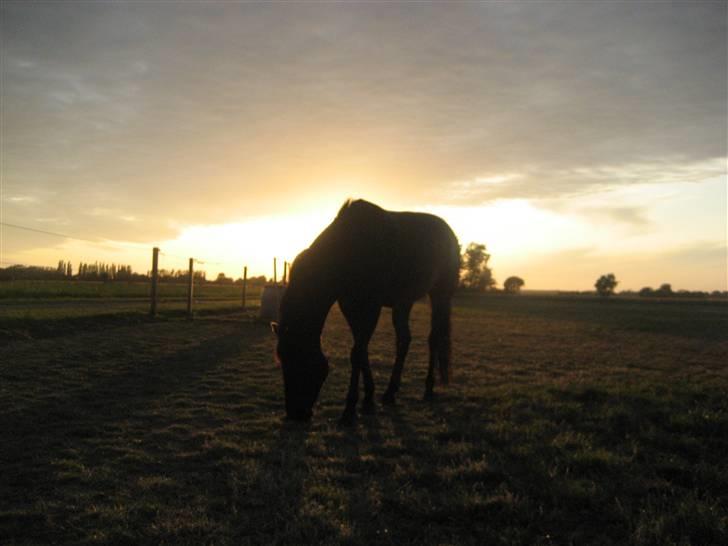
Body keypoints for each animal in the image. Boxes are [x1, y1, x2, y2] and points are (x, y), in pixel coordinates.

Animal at [271, 199, 460, 425]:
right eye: (282, 359)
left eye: (300, 357)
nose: (295, 414)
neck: (349, 251)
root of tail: (449, 234)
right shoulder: (350, 306)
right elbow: (362, 351)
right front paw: (368, 399)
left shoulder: (371, 306)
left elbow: (357, 353)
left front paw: (349, 409)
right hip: (403, 302)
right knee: (404, 339)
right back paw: (390, 393)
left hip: (440, 294)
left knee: (434, 338)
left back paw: (428, 388)